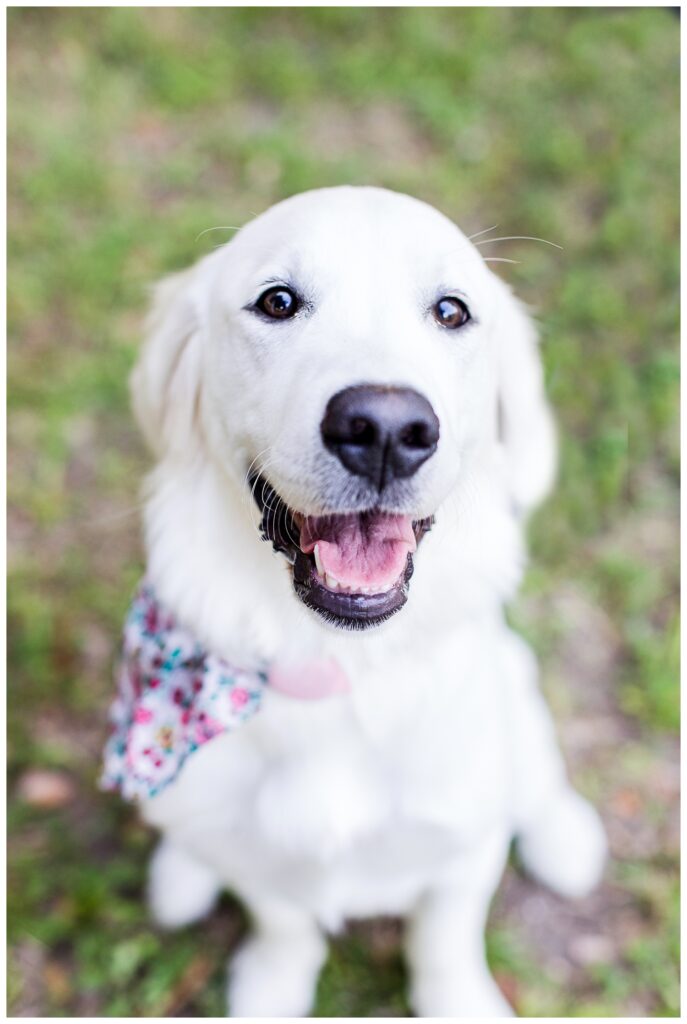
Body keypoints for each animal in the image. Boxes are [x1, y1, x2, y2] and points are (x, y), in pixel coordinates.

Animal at [120, 186, 606, 1015]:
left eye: (450, 311)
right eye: (277, 301)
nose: (382, 428)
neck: (332, 664)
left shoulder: (464, 845)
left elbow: (444, 938)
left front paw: (459, 1001)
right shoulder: (262, 863)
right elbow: (285, 924)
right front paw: (272, 986)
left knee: (536, 772)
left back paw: (565, 836)